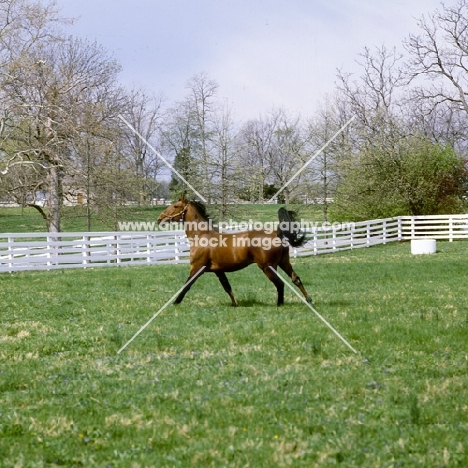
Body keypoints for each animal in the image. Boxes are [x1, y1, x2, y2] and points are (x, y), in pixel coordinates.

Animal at [155, 194, 312, 308]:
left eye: (176, 206)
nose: (159, 218)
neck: (201, 236)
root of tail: (277, 233)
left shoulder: (197, 268)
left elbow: (186, 285)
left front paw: (175, 302)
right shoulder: (218, 271)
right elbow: (227, 287)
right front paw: (235, 304)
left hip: (268, 267)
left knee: (280, 284)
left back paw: (279, 304)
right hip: (284, 263)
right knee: (296, 279)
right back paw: (309, 299)